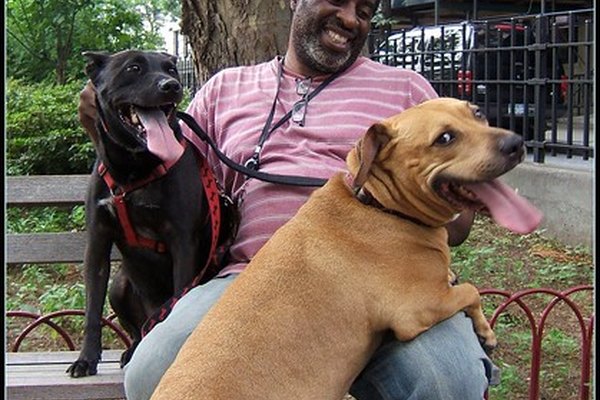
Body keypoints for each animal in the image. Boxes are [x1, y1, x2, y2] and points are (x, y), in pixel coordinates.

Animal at [67, 50, 230, 378]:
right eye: (133, 68)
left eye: (171, 70)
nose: (171, 86)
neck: (134, 170)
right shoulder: (97, 242)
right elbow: (92, 310)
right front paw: (86, 359)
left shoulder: (183, 241)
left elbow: (180, 294)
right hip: (119, 286)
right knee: (136, 329)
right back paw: (132, 349)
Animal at [151, 97, 544, 400]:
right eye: (444, 138)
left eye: (478, 113)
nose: (516, 142)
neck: (377, 204)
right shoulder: (419, 307)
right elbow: (471, 290)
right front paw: (485, 330)